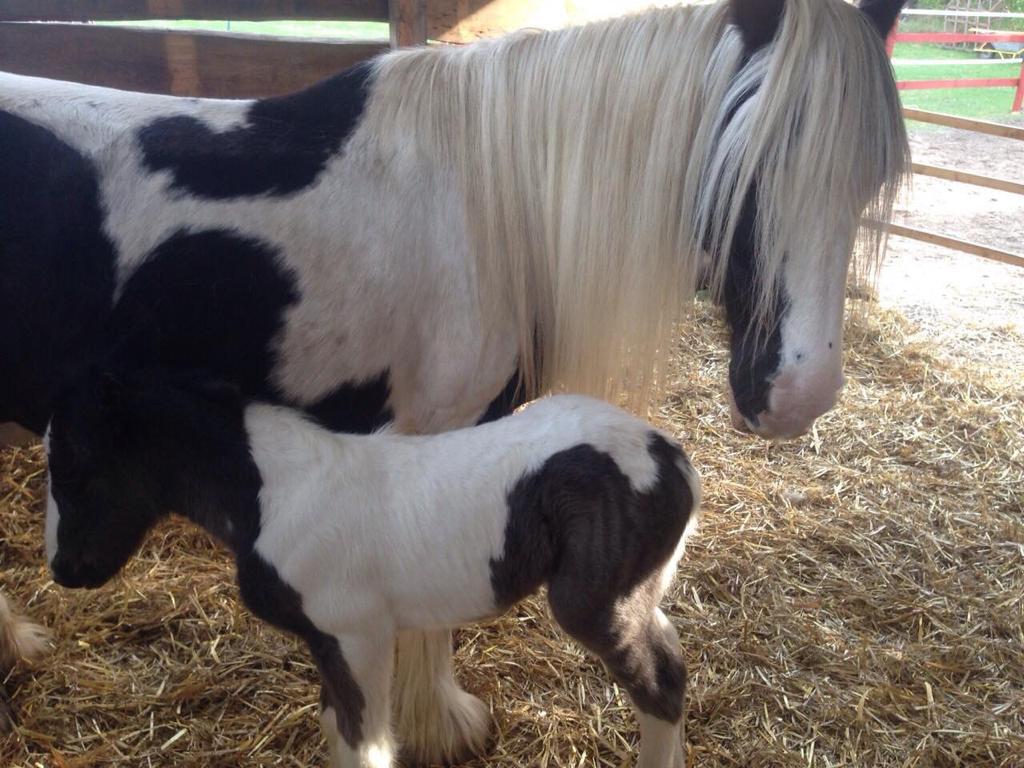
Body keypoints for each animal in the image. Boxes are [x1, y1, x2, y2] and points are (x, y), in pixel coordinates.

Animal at [39, 370, 696, 765]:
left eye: (75, 467)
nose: (64, 569)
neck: (274, 492)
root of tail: (675, 460)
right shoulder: (326, 643)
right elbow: (336, 729)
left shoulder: (359, 636)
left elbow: (368, 746)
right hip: (638, 592)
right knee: (669, 647)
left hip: (593, 602)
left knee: (659, 683)